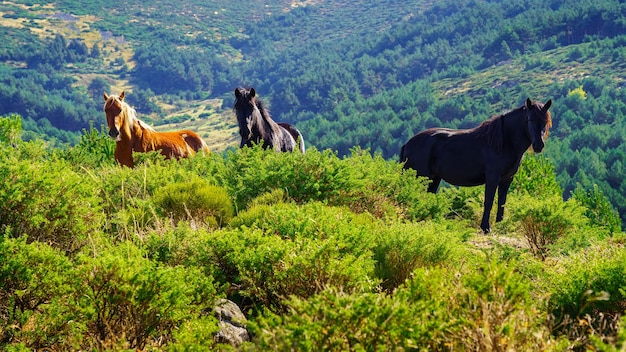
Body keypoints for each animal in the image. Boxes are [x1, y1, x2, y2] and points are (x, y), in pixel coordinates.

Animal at [400, 97, 552, 232]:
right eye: (530, 119)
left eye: (545, 121)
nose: (538, 145)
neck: (503, 142)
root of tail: (407, 144)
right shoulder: (492, 178)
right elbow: (488, 201)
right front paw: (486, 227)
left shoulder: (507, 179)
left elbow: (502, 202)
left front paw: (501, 224)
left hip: (433, 179)